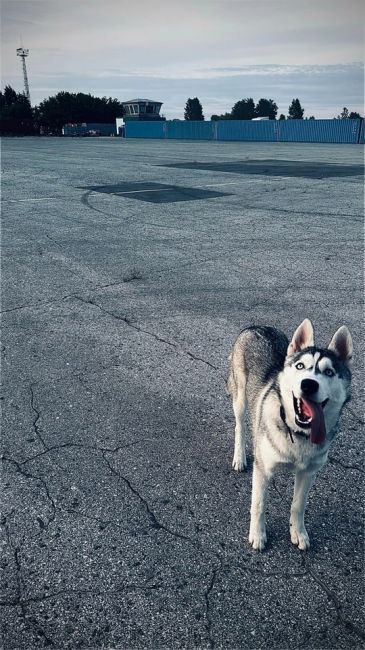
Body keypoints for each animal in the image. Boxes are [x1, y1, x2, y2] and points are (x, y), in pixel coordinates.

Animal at [228, 316, 352, 548]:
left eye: (329, 372)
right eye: (300, 366)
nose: (308, 384)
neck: (298, 432)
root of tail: (255, 326)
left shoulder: (308, 473)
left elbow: (298, 505)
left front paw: (298, 532)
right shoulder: (263, 469)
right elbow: (259, 505)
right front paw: (258, 534)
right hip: (239, 398)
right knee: (240, 426)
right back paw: (239, 457)